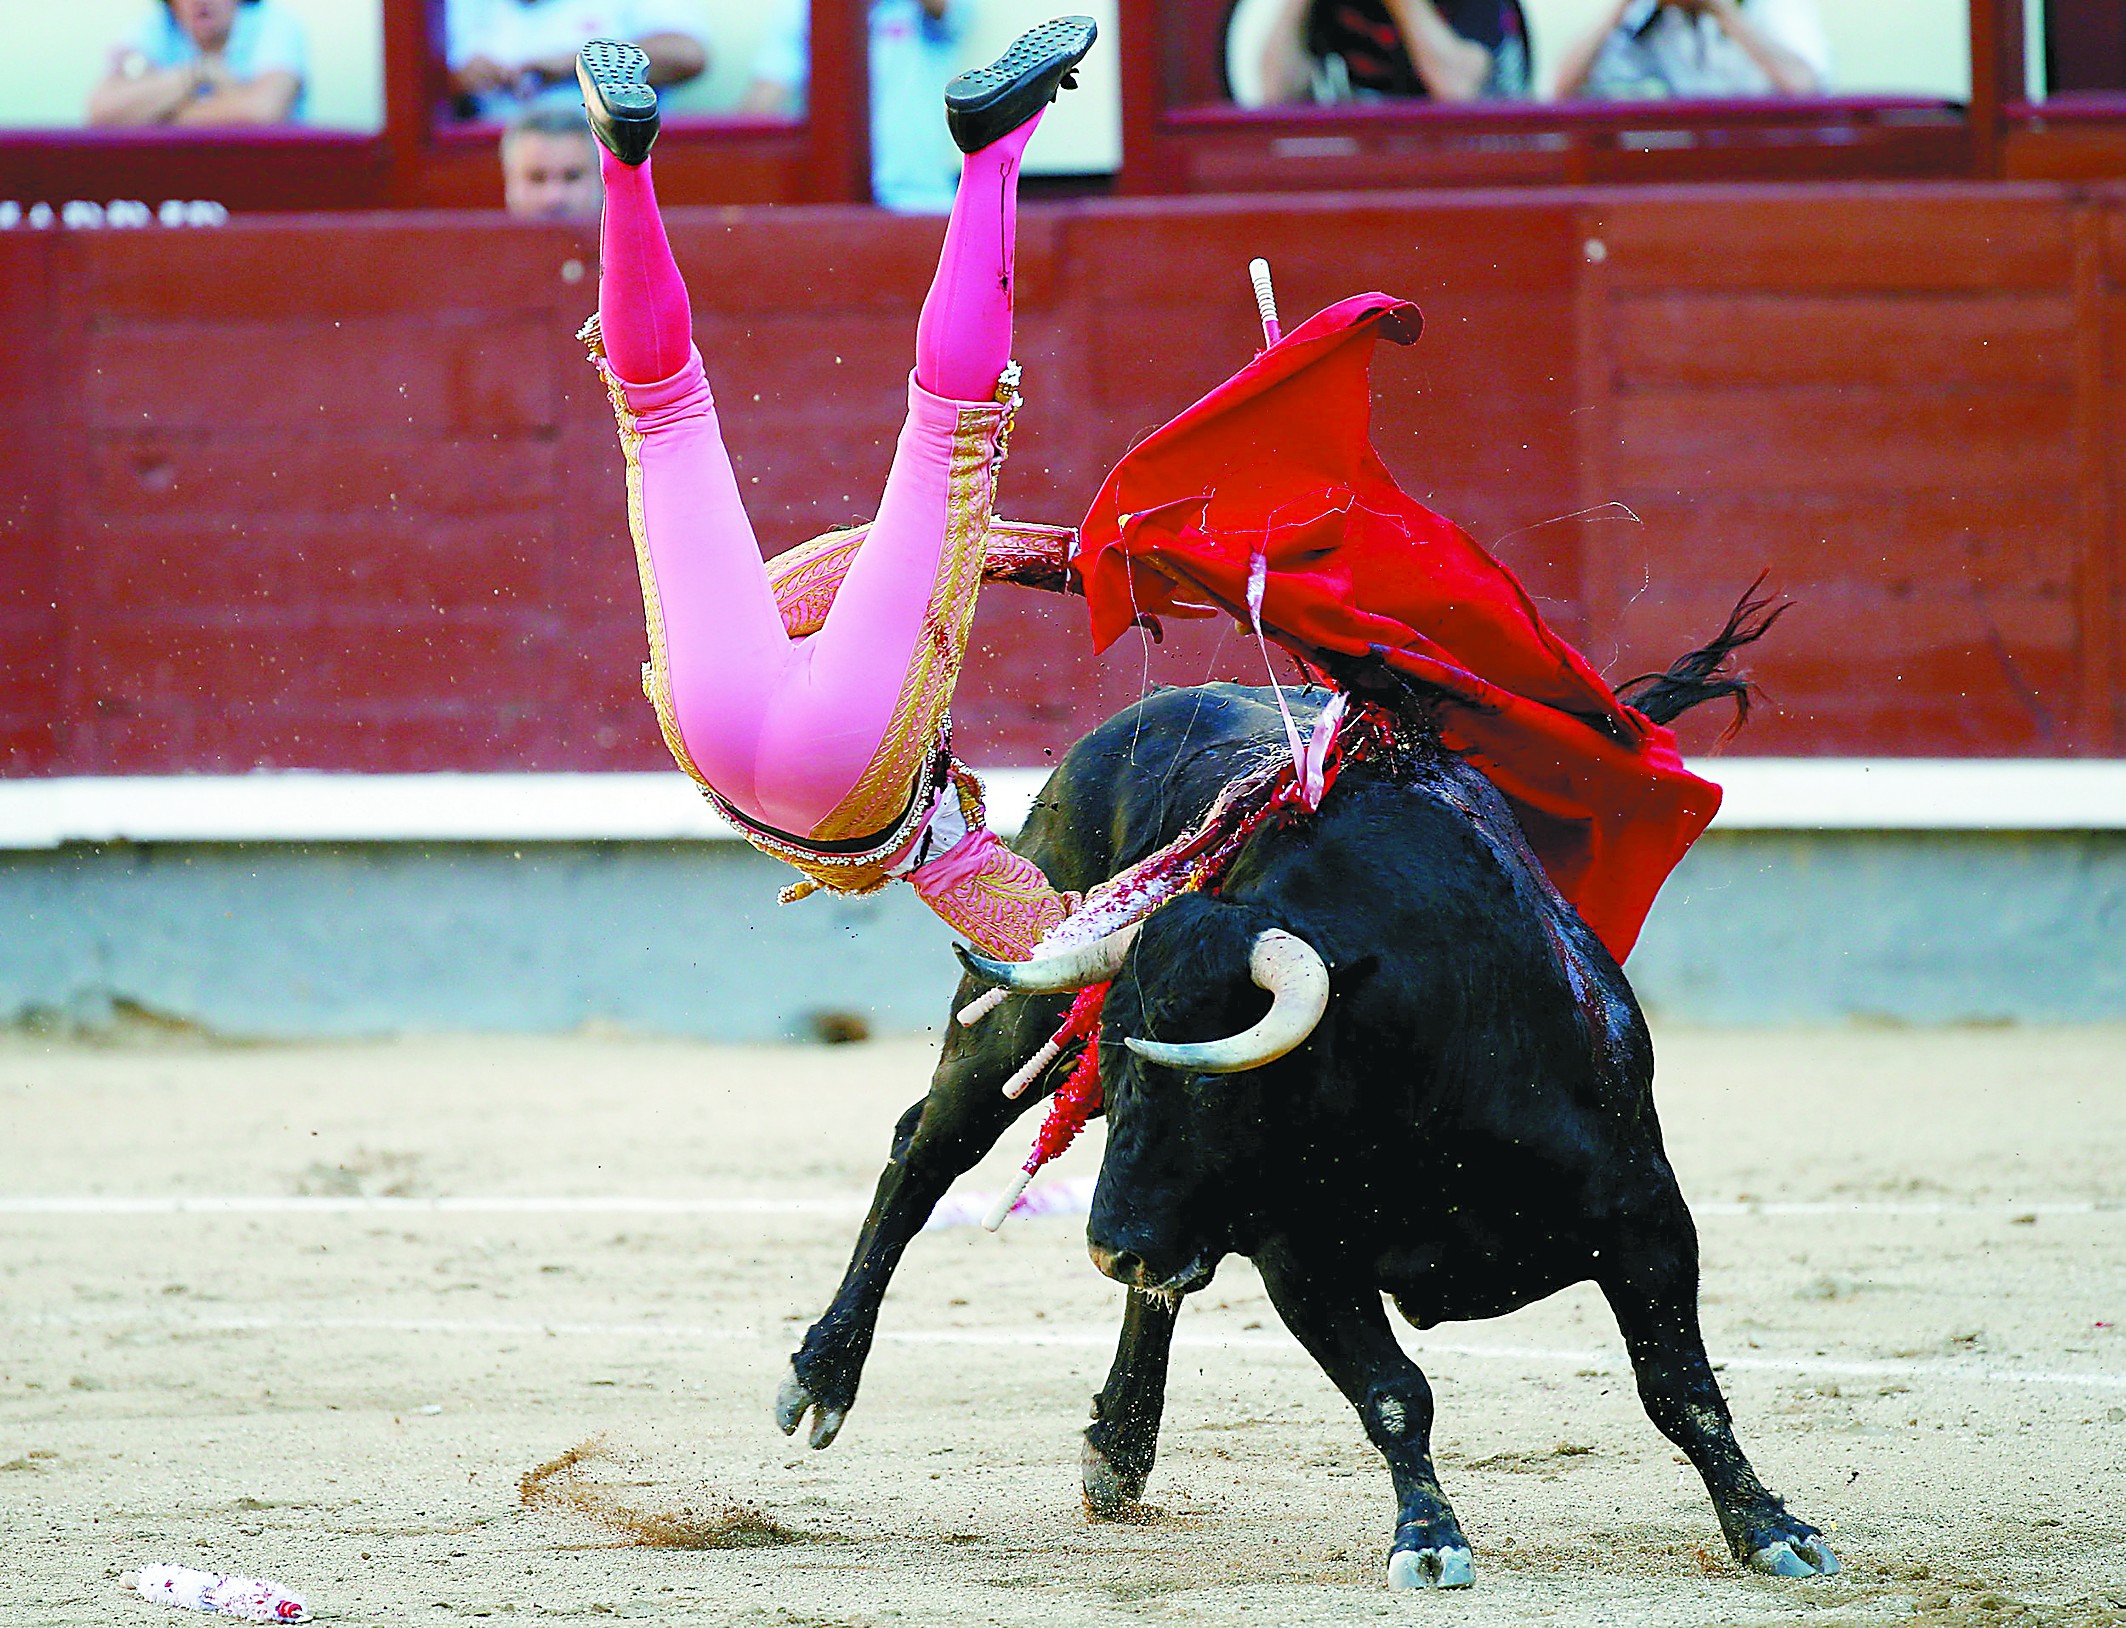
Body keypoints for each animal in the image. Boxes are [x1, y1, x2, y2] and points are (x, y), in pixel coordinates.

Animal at [773, 680, 1836, 1598]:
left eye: (1201, 1084)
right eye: (1108, 1072)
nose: (1109, 1246)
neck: (1422, 1065)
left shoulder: (1645, 1215)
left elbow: (1680, 1387)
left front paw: (1772, 1529)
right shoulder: (1303, 1256)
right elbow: (1395, 1391)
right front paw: (1430, 1540)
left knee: (1148, 1283)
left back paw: (1118, 1445)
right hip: (1009, 1036)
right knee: (923, 1155)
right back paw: (822, 1377)